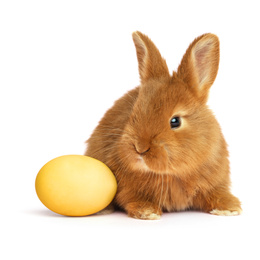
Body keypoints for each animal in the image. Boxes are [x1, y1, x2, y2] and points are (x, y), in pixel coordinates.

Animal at [85, 32, 242, 219]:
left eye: (175, 121)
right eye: (134, 112)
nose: (140, 148)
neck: (172, 173)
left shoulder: (215, 182)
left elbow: (217, 193)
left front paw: (230, 208)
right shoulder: (128, 190)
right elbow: (132, 198)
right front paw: (147, 212)